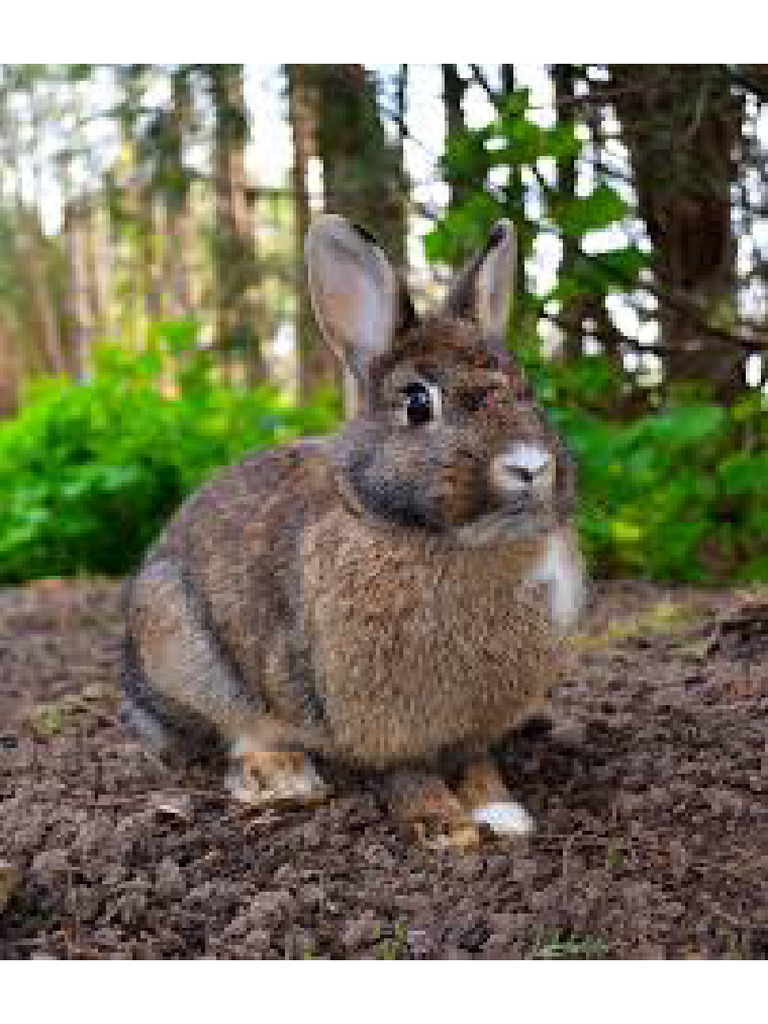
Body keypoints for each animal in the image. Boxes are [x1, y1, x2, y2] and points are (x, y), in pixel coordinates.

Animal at [122, 214, 583, 848]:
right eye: (417, 403)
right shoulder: (378, 721)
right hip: (185, 653)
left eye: (528, 390)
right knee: (236, 732)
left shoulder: (473, 728)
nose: (530, 466)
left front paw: (503, 813)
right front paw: (446, 827)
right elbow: (406, 772)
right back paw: (284, 777)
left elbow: (476, 762)